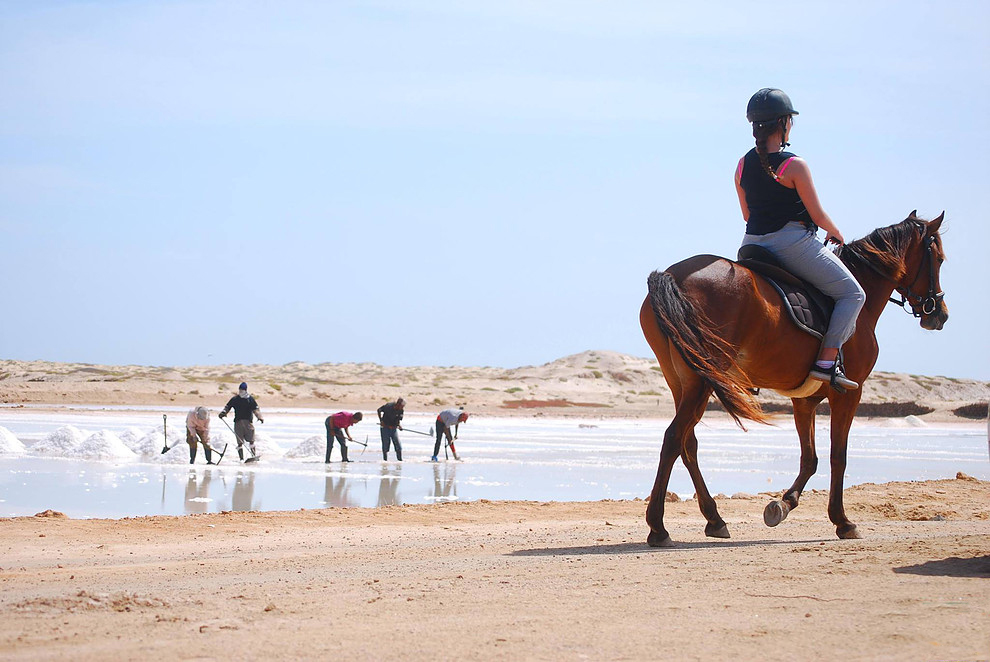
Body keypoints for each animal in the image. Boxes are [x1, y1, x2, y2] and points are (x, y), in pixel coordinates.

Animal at [640, 214, 948, 548]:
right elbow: (838, 456)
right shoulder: (849, 394)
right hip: (701, 381)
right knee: (673, 438)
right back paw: (658, 527)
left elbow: (809, 458)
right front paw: (842, 521)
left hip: (683, 382)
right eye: (940, 259)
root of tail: (673, 274)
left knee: (688, 442)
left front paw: (783, 504)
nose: (940, 314)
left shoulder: (804, 400)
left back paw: (714, 519)